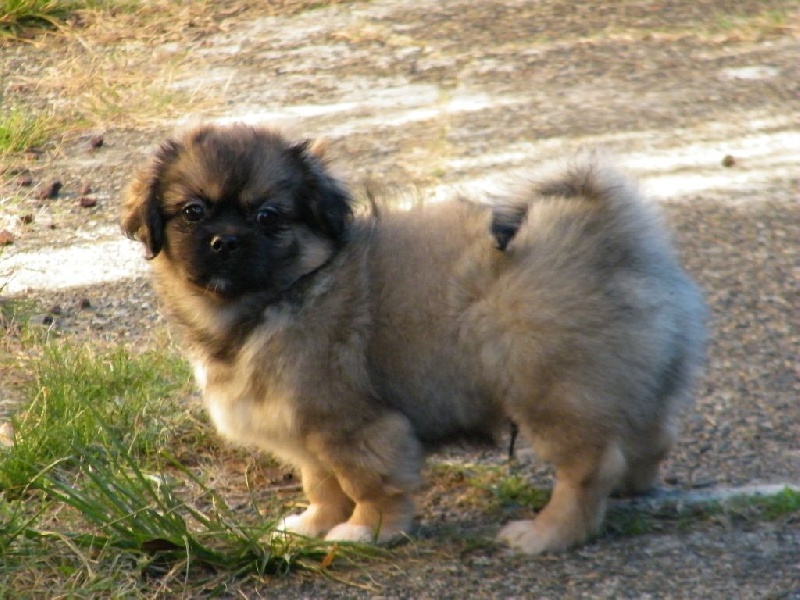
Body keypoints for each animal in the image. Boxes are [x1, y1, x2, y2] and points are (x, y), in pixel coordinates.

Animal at [122, 123, 706, 554]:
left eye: (268, 217)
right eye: (193, 212)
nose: (225, 241)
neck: (279, 297)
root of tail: (604, 234)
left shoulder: (354, 427)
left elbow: (365, 483)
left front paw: (367, 532)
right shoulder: (306, 430)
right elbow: (321, 483)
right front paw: (313, 526)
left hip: (551, 392)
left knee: (589, 467)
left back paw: (547, 534)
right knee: (650, 436)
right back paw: (631, 488)